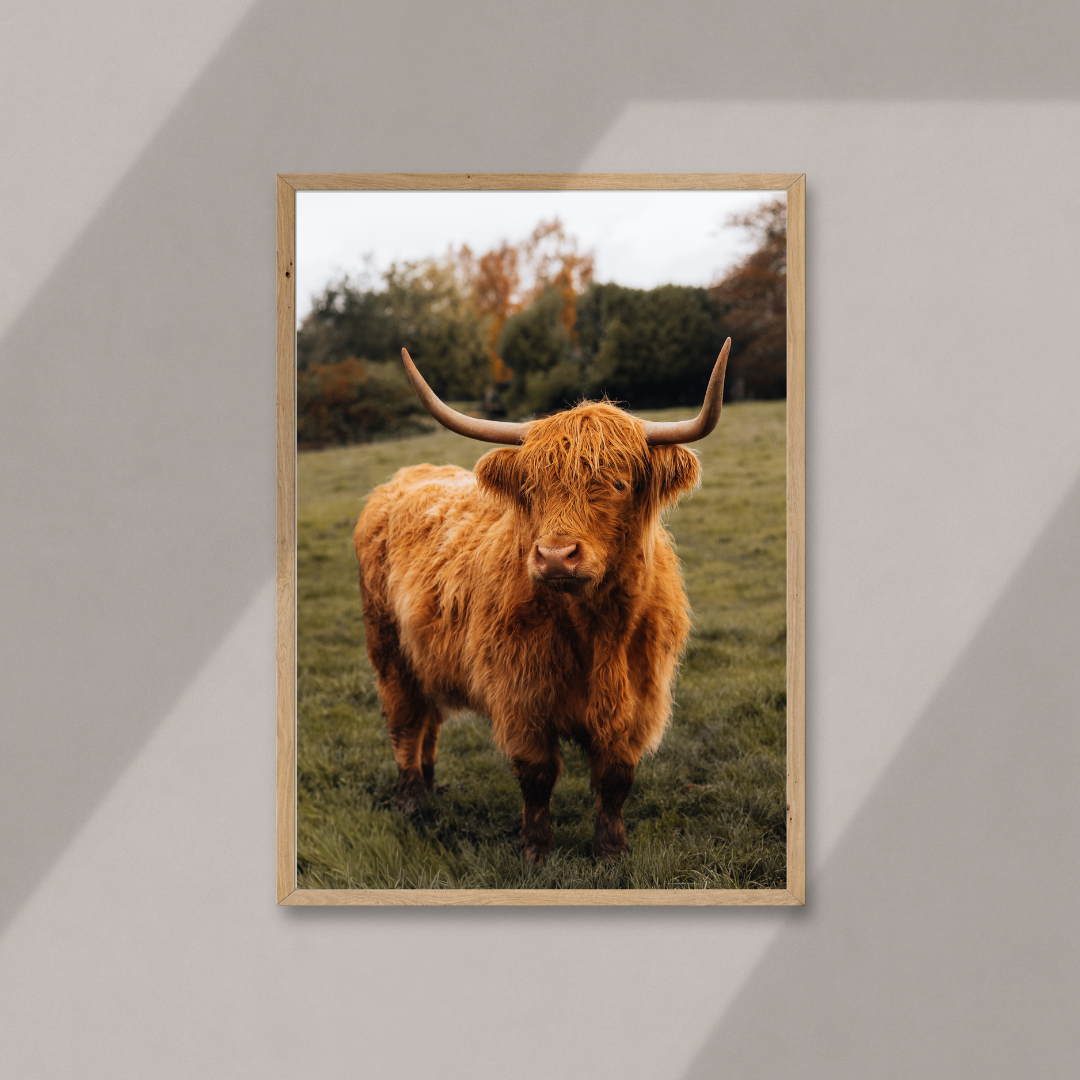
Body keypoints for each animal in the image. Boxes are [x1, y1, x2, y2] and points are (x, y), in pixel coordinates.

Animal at [353, 340, 730, 862]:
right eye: (532, 488)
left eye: (617, 484)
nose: (555, 556)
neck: (597, 629)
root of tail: (407, 476)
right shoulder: (520, 696)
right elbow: (537, 774)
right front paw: (535, 849)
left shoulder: (639, 700)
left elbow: (615, 777)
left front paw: (611, 850)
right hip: (387, 647)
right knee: (405, 719)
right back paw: (411, 798)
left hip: (426, 654)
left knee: (428, 718)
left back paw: (429, 785)